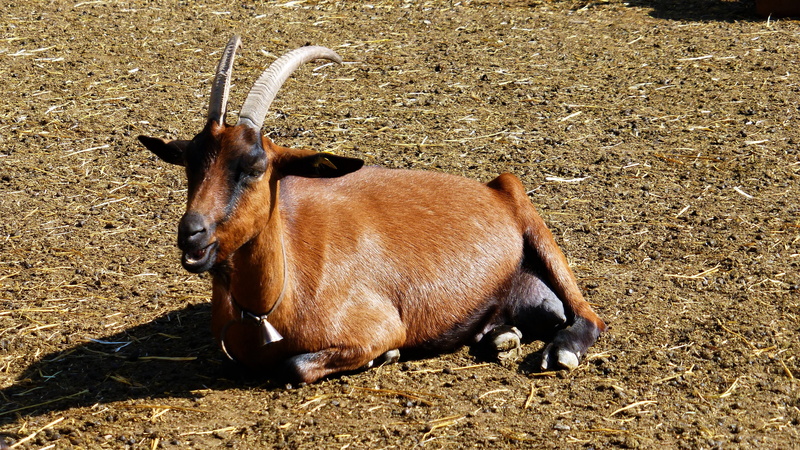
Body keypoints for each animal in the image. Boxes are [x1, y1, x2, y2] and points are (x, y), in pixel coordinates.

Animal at [139, 36, 606, 384]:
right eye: (189, 164)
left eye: (255, 167)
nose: (191, 233)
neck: (268, 307)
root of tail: (493, 190)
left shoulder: (378, 325)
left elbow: (296, 366)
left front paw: (384, 357)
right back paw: (502, 335)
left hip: (532, 221)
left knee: (589, 316)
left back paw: (561, 351)